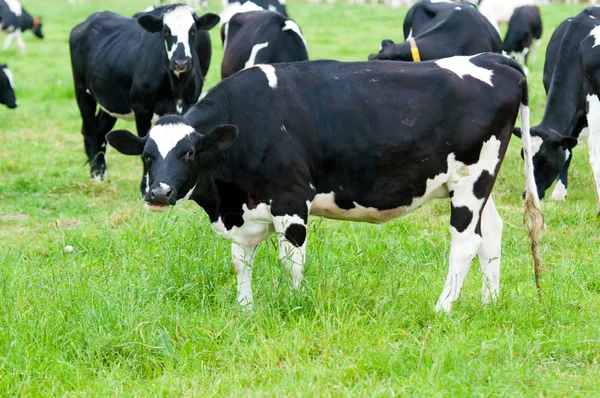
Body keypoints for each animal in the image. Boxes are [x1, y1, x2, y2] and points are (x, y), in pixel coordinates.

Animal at [69, 5, 220, 190]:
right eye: (166, 31)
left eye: (192, 31)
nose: (181, 63)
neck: (176, 86)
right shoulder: (141, 109)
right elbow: (144, 151)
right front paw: (146, 188)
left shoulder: (189, 104)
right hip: (82, 91)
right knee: (89, 131)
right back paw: (96, 176)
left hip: (111, 101)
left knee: (101, 132)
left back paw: (103, 175)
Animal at [106, 53, 544, 314]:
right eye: (147, 154)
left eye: (189, 153)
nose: (158, 193)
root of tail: (491, 58)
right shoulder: (246, 211)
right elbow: (240, 260)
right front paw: (245, 310)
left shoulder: (290, 201)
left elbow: (291, 261)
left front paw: (295, 305)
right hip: (478, 183)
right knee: (492, 232)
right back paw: (489, 302)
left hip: (472, 180)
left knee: (466, 241)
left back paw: (443, 307)